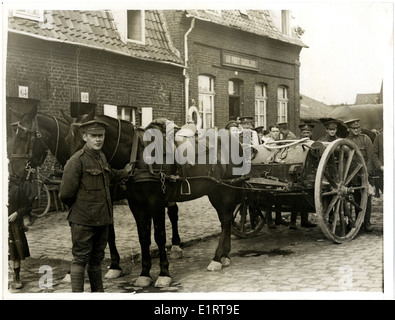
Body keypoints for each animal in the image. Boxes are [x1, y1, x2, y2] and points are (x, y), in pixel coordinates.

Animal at [66, 107, 249, 288]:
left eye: (83, 137)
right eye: (68, 138)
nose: (69, 170)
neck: (139, 155)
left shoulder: (157, 202)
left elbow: (159, 236)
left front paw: (163, 274)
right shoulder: (136, 204)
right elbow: (143, 237)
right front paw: (144, 274)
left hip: (224, 190)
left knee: (225, 220)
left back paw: (217, 258)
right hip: (215, 191)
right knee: (225, 221)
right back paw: (224, 256)